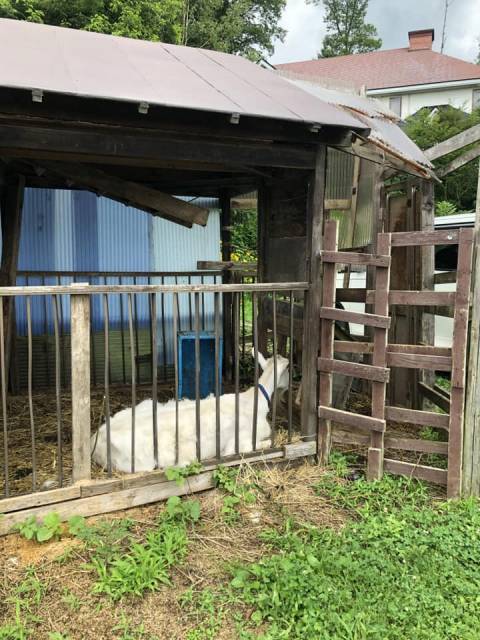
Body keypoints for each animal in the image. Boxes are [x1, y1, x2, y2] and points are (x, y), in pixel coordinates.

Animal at [92, 352, 290, 472]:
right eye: (288, 368)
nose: (288, 387)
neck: (252, 401)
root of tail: (97, 439)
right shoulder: (239, 444)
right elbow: (261, 444)